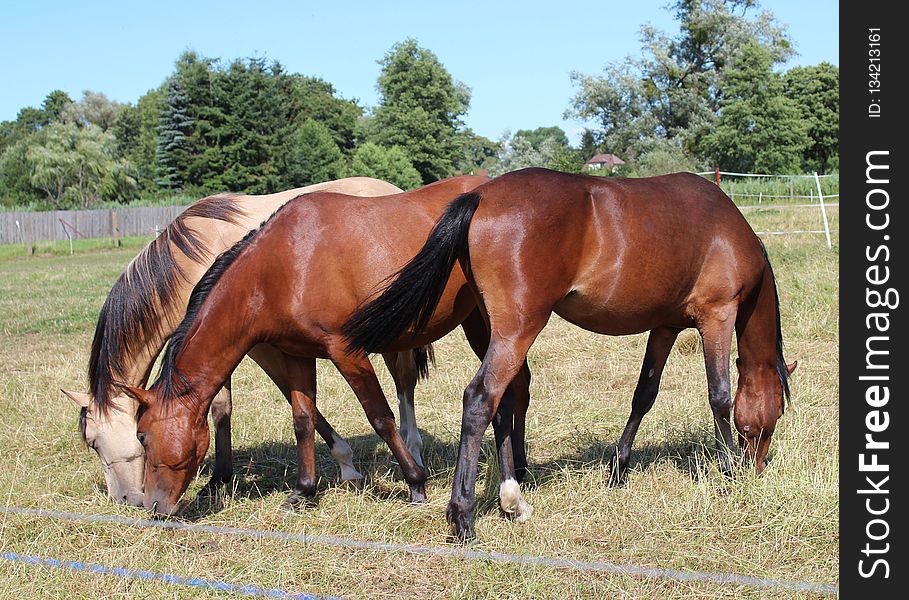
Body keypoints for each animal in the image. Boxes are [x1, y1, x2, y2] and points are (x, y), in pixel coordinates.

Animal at [63, 177, 440, 506]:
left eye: (94, 442)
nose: (125, 500)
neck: (190, 261)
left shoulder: (260, 346)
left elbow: (270, 398)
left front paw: (346, 464)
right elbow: (231, 406)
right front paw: (219, 480)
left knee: (404, 382)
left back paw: (414, 448)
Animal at [120, 175, 532, 520]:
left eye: (141, 435)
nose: (152, 506)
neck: (282, 266)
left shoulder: (346, 351)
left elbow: (380, 416)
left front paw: (416, 483)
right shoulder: (297, 354)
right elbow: (303, 420)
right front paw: (304, 490)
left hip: (489, 326)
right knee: (517, 387)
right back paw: (519, 471)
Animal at [344, 166, 800, 540]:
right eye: (777, 413)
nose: (758, 467)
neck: (726, 231)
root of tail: (482, 196)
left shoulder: (665, 326)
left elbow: (644, 395)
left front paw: (619, 468)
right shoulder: (717, 316)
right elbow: (719, 396)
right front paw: (728, 471)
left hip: (496, 332)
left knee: (504, 404)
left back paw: (512, 499)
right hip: (517, 331)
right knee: (479, 400)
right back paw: (464, 515)